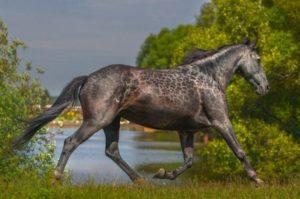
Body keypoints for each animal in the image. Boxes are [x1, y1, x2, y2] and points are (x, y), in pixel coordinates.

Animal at [12, 37, 268, 185]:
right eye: (258, 59)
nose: (265, 87)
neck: (209, 77)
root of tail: (88, 78)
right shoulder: (221, 121)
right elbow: (239, 150)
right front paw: (257, 179)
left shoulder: (186, 131)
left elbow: (188, 162)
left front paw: (163, 174)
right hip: (96, 120)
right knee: (70, 142)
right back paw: (56, 178)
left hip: (112, 122)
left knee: (112, 151)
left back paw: (140, 180)